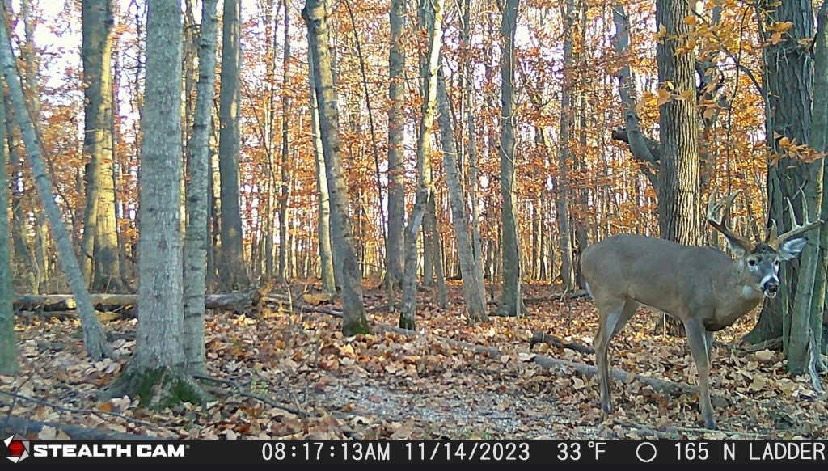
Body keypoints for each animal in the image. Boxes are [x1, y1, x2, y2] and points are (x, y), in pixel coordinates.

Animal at [581, 193, 823, 429]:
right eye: (753, 261)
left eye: (776, 262)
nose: (772, 284)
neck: (718, 289)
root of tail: (584, 255)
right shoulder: (691, 314)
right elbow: (702, 363)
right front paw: (709, 418)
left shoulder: (710, 326)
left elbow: (710, 361)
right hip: (609, 297)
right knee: (599, 341)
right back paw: (606, 403)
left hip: (630, 303)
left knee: (603, 341)